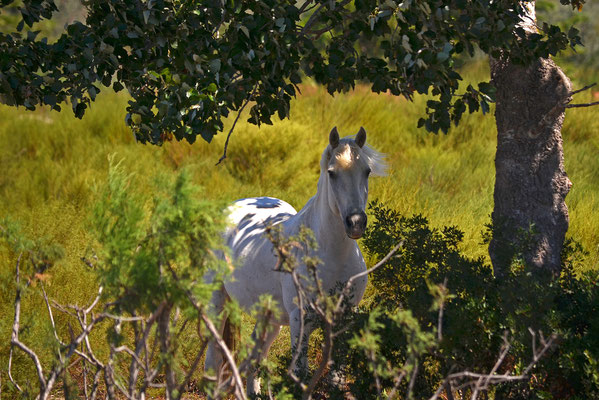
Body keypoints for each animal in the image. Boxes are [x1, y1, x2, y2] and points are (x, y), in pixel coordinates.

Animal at [204, 126, 386, 396]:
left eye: (367, 171)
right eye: (332, 173)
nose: (355, 223)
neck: (330, 256)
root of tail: (234, 206)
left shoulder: (343, 318)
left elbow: (337, 378)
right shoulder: (300, 320)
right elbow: (300, 373)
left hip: (269, 318)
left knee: (255, 355)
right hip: (217, 301)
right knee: (213, 357)